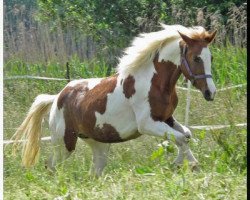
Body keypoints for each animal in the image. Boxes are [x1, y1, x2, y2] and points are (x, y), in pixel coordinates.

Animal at [12, 23, 217, 177]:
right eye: (196, 58)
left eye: (211, 57)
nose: (210, 93)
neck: (154, 82)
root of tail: (56, 98)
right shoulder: (147, 124)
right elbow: (181, 138)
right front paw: (186, 165)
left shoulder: (167, 118)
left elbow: (186, 135)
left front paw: (185, 164)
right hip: (64, 144)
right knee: (51, 166)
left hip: (99, 145)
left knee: (93, 173)